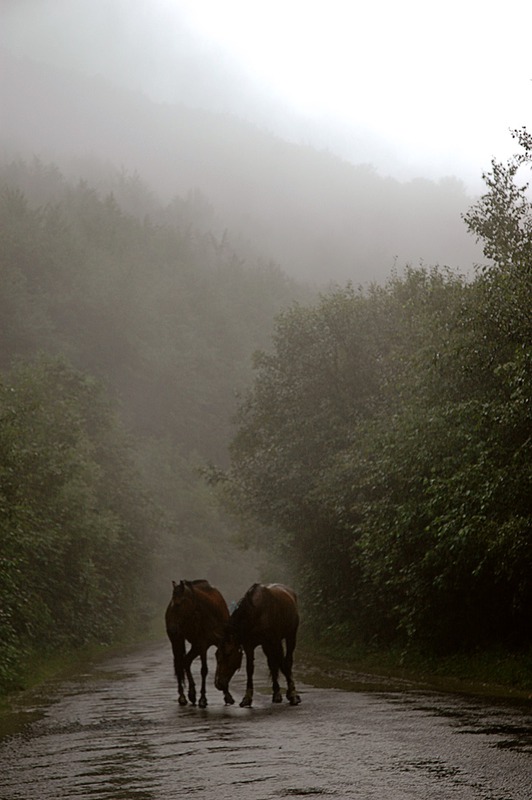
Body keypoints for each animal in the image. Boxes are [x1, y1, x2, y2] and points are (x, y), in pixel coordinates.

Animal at [164, 580, 235, 708]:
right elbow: (204, 670)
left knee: (186, 661)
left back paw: (192, 694)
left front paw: (227, 695)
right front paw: (203, 698)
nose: (171, 629)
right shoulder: (203, 644)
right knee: (179, 663)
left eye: (178, 604)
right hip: (178, 641)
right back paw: (182, 696)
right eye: (173, 604)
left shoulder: (219, 642)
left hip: (194, 645)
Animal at [214, 580, 302, 708]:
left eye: (228, 653)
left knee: (287, 661)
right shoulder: (249, 646)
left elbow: (284, 665)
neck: (257, 612)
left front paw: (293, 695)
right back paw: (276, 694)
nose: (218, 683)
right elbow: (250, 669)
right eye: (216, 655)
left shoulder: (275, 642)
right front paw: (247, 698)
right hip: (267, 646)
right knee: (272, 663)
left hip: (290, 636)